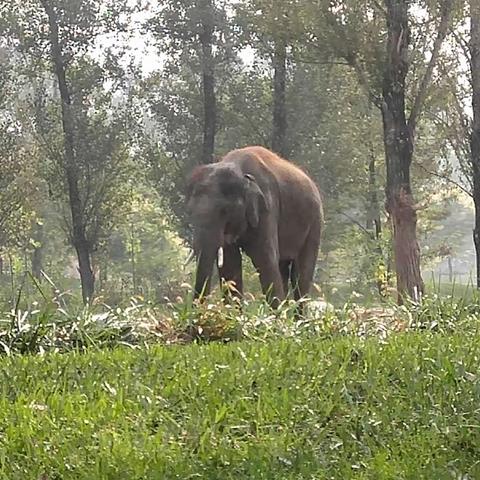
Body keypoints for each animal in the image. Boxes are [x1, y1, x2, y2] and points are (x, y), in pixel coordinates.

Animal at [186, 144, 324, 308]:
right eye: (190, 211)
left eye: (224, 211)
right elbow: (230, 264)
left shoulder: (267, 208)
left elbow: (265, 259)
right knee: (282, 268)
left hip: (315, 223)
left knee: (300, 274)